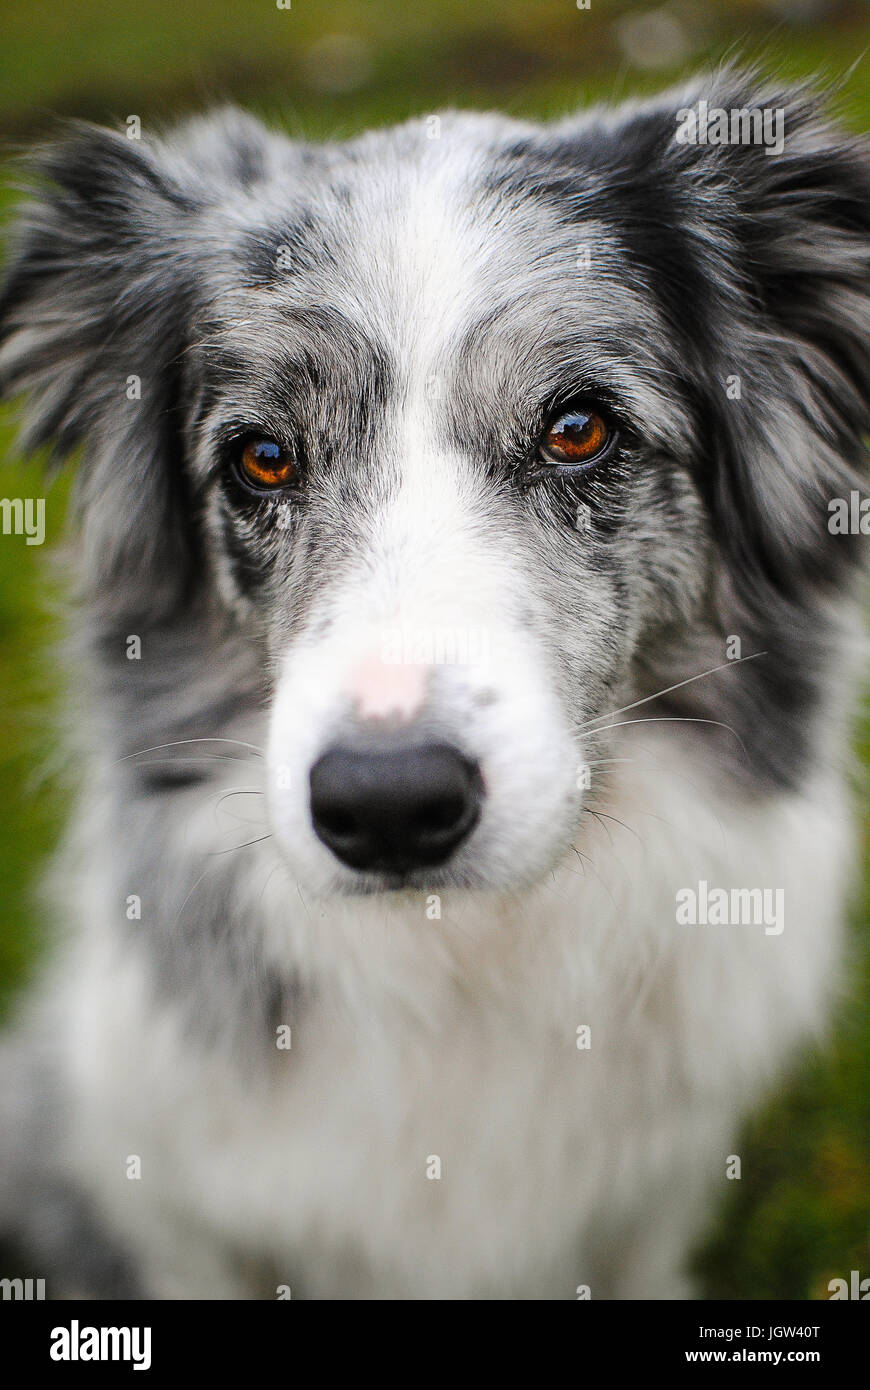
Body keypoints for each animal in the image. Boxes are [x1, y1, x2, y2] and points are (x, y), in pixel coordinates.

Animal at [0, 65, 861, 1295]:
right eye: (263, 458)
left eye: (579, 428)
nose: (388, 805)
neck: (463, 946)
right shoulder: (180, 1213)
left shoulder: (651, 1211)